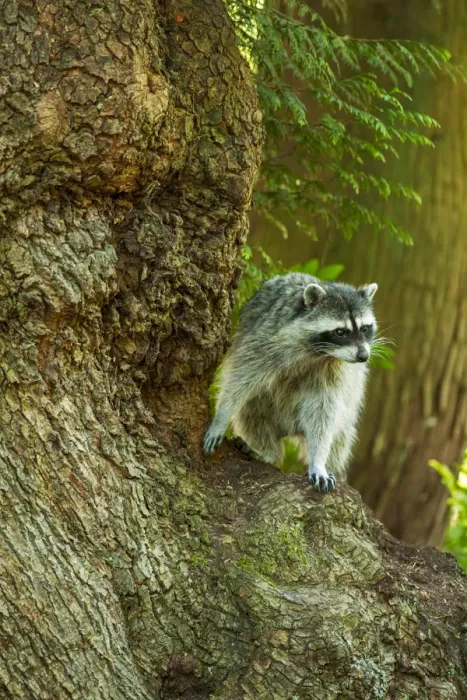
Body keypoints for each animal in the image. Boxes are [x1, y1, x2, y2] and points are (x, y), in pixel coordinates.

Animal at [203, 273, 378, 493]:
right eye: (340, 332)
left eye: (364, 328)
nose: (363, 356)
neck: (320, 353)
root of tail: (291, 430)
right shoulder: (266, 340)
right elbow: (241, 379)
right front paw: (221, 417)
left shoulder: (335, 372)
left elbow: (323, 413)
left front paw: (318, 462)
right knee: (252, 415)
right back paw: (268, 452)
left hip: (347, 410)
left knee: (340, 434)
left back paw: (332, 465)